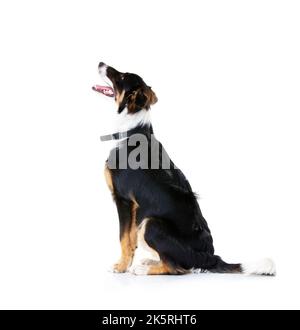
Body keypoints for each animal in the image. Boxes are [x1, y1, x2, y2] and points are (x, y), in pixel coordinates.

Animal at [92, 62, 276, 276]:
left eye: (121, 77)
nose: (101, 63)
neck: (130, 131)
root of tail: (209, 258)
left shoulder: (123, 199)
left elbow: (123, 238)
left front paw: (121, 266)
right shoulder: (135, 206)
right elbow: (130, 239)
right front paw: (126, 263)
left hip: (151, 223)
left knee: (176, 267)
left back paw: (144, 269)